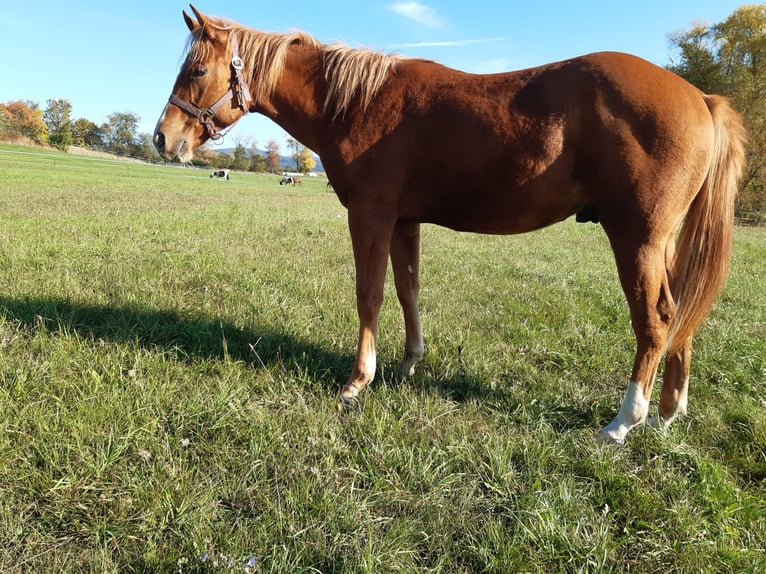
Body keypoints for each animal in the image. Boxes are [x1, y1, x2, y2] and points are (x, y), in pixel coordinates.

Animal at [153, 6, 745, 443]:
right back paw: (669, 411)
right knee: (680, 311)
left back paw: (625, 421)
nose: (163, 138)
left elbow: (369, 294)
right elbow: (408, 289)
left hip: (636, 238)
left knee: (656, 319)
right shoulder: (403, 220)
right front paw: (409, 363)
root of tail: (700, 97)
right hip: (661, 242)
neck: (358, 103)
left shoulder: (370, 214)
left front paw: (357, 382)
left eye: (197, 71)